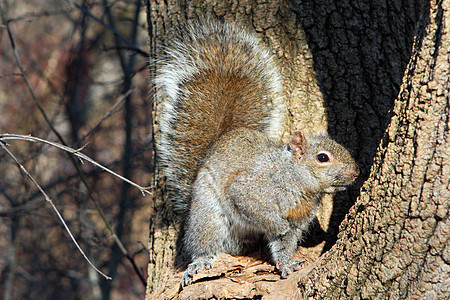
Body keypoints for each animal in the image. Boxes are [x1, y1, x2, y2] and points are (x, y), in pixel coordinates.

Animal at [154, 19, 358, 288]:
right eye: (322, 157)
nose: (356, 173)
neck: (299, 183)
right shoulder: (252, 187)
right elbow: (252, 205)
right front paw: (278, 224)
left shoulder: (298, 219)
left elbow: (285, 244)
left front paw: (287, 265)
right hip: (207, 214)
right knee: (205, 241)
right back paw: (199, 262)